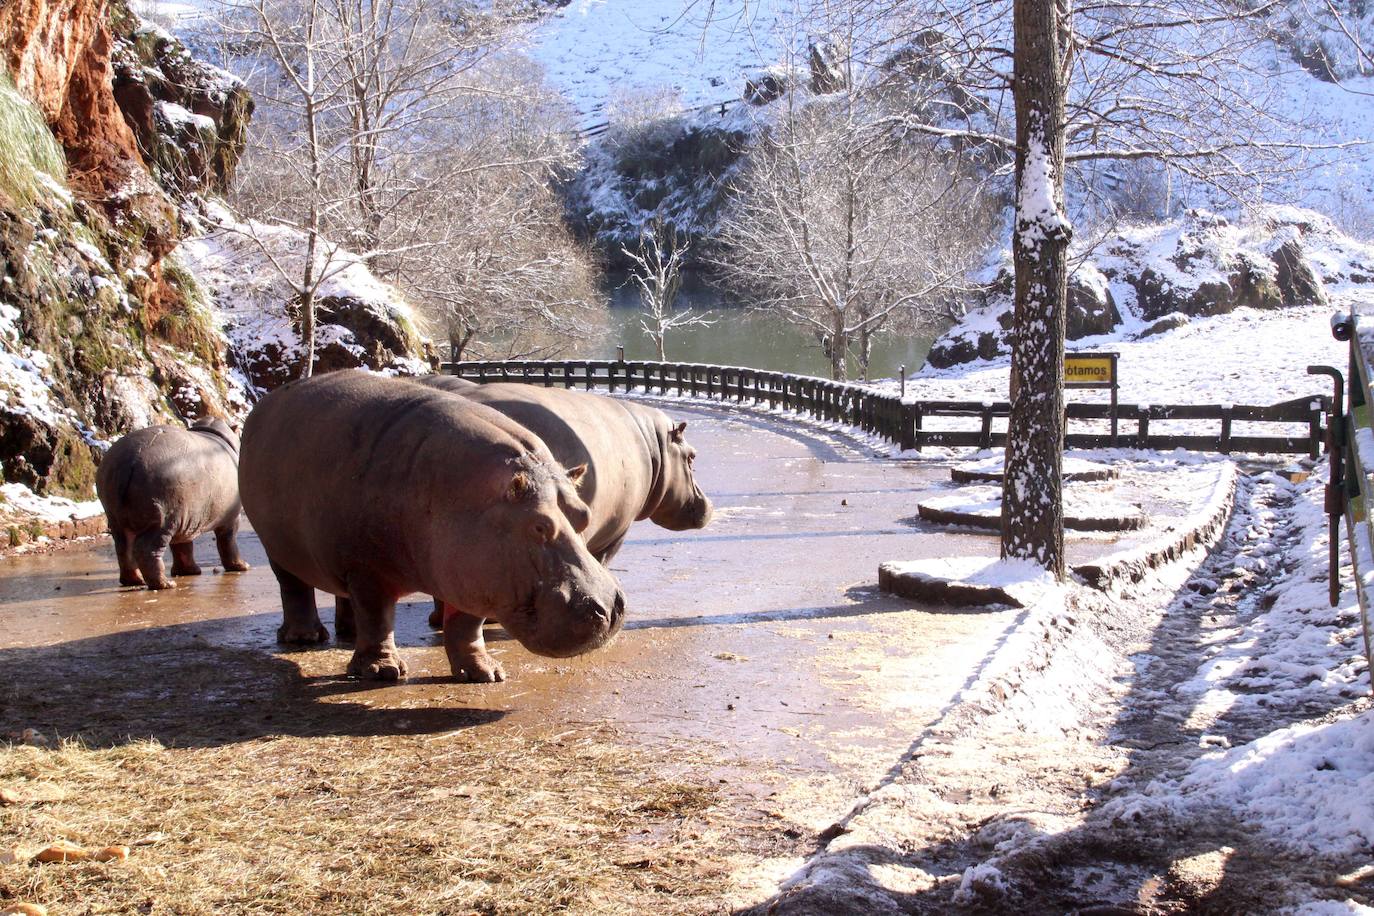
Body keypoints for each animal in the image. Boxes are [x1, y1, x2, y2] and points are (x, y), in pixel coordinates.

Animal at [96, 417, 250, 590]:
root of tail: (131, 460)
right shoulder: (231, 517)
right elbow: (228, 542)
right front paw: (242, 567)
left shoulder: (188, 520)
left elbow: (182, 546)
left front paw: (190, 572)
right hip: (162, 520)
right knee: (146, 550)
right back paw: (166, 584)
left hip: (118, 520)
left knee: (123, 549)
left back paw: (135, 581)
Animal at [239, 368, 626, 681]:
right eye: (540, 526)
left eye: (583, 515)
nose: (609, 609)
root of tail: (269, 400)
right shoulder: (367, 570)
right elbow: (377, 617)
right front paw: (382, 672)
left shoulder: (471, 576)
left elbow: (466, 625)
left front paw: (485, 673)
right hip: (277, 547)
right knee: (294, 587)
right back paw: (304, 637)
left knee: (341, 594)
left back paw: (347, 633)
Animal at [403, 376, 708, 683]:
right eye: (692, 457)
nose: (707, 504)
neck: (655, 446)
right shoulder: (616, 534)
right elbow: (599, 563)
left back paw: (439, 619)